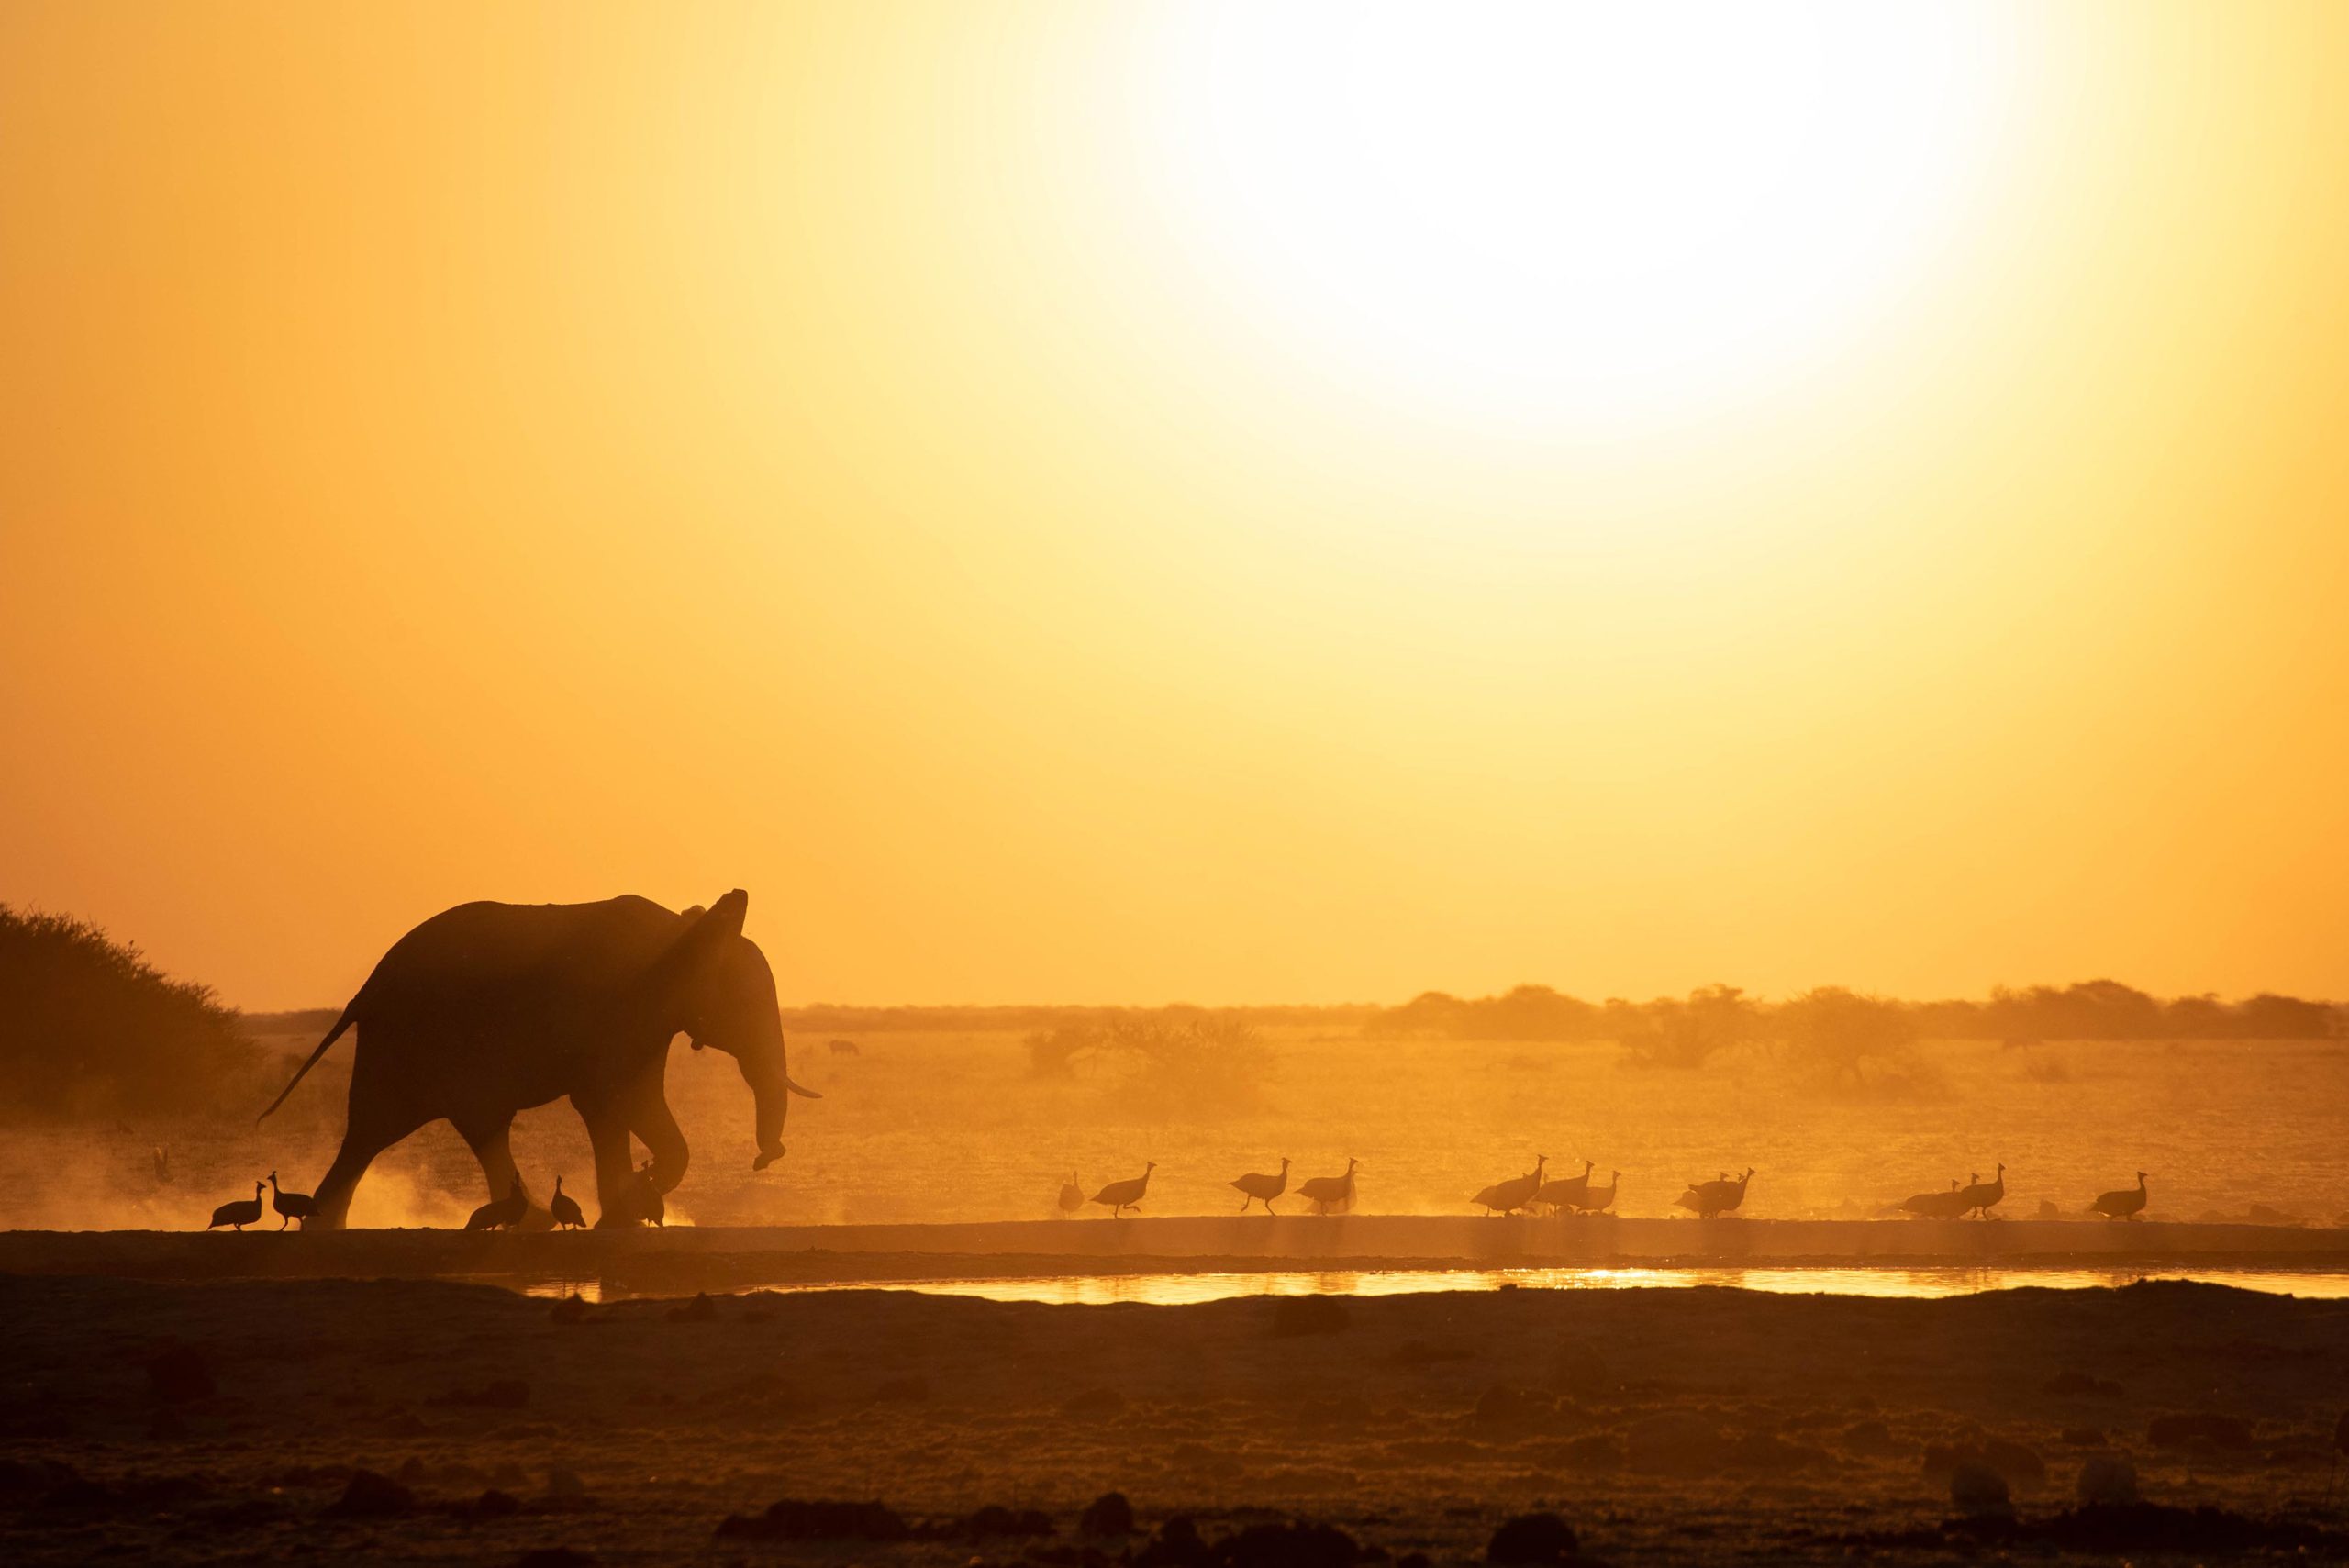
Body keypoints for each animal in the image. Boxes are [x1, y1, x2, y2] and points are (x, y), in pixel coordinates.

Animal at [259, 887, 817, 1229]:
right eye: (746, 1003)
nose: (766, 1157)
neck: (680, 930)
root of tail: (367, 991)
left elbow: (621, 1106)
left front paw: (625, 1212)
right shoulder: (622, 1012)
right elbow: (614, 1101)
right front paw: (640, 1196)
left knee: (447, 1127)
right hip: (411, 1037)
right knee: (388, 1127)